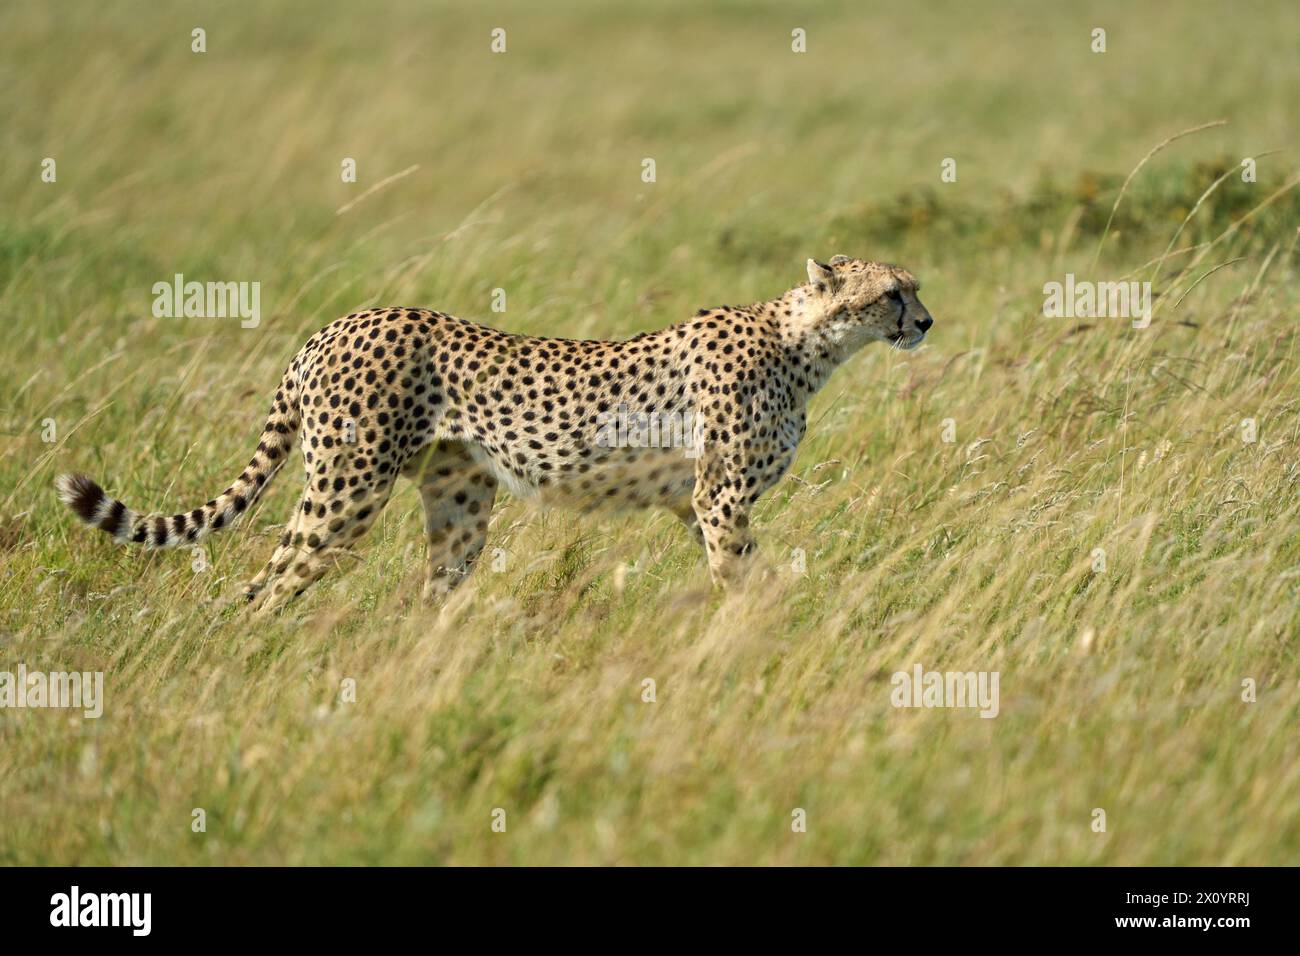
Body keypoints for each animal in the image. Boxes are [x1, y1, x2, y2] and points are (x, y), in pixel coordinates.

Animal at [57, 255, 934, 616]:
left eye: (913, 288)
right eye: (892, 293)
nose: (926, 322)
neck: (807, 343)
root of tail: (337, 323)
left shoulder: (695, 500)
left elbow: (742, 566)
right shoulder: (719, 496)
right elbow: (736, 573)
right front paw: (749, 635)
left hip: (459, 501)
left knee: (426, 595)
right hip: (347, 490)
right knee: (267, 582)